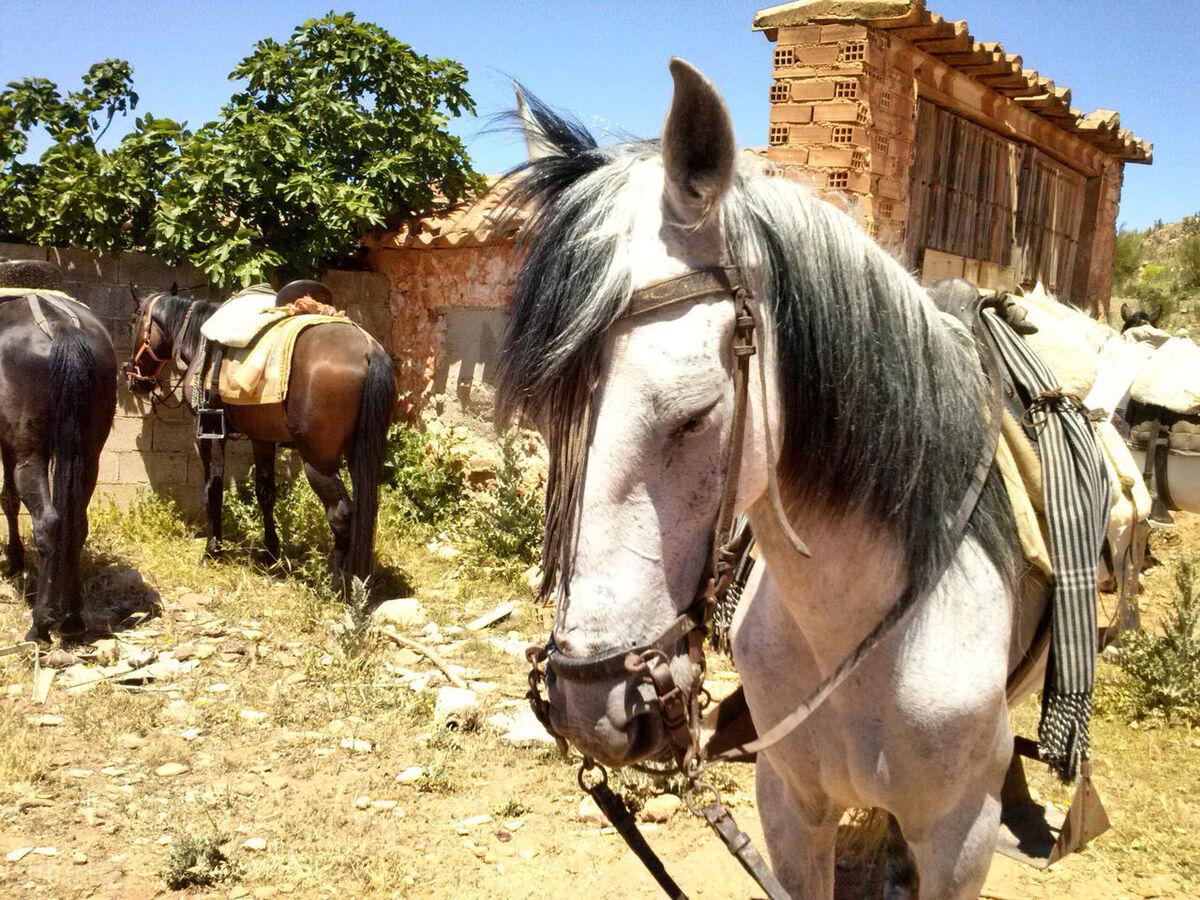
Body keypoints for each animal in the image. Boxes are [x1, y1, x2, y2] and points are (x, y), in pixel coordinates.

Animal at [0, 260, 118, 648]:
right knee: (75, 522)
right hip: (89, 454)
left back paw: (40, 625)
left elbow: (8, 499)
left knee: (49, 522)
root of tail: (62, 328)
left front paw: (15, 560)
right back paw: (72, 618)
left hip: (31, 453)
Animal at [126, 285, 398, 588]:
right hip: (359, 453)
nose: (133, 378)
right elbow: (265, 493)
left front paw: (212, 550)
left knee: (341, 513)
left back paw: (337, 584)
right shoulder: (262, 438)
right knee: (364, 511)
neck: (200, 339)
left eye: (133, 323)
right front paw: (270, 553)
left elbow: (213, 489)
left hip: (318, 461)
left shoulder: (207, 434)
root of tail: (369, 350)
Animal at [504, 60, 1060, 897]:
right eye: (544, 410)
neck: (853, 631)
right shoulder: (789, 803)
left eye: (695, 415)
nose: (586, 703)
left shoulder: (961, 840)